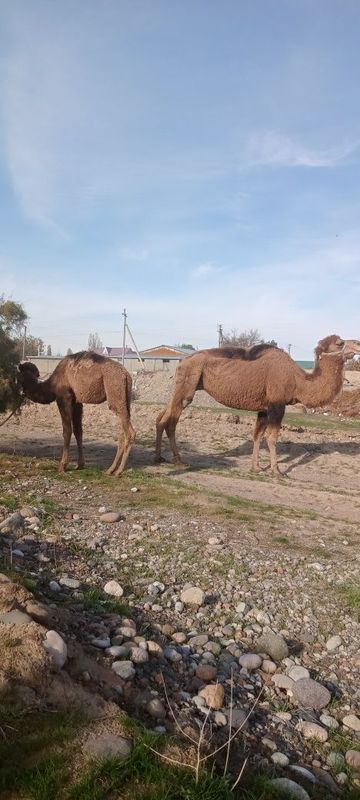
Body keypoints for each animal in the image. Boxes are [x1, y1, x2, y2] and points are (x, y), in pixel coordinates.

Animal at [155, 332, 360, 476]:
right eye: (340, 342)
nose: (358, 344)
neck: (298, 381)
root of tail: (183, 360)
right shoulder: (277, 403)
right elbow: (272, 437)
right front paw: (276, 471)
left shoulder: (264, 407)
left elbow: (257, 436)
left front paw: (256, 467)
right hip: (188, 384)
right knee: (171, 421)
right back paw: (177, 459)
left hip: (183, 384)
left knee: (161, 417)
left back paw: (160, 456)